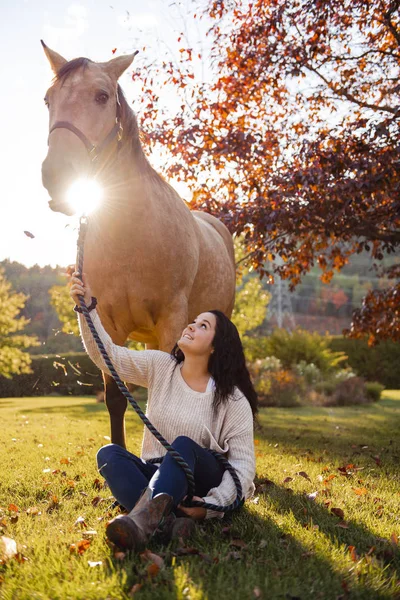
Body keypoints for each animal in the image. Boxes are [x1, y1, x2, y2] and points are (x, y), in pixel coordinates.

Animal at [40, 42, 236, 448]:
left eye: (101, 96)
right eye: (48, 99)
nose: (57, 176)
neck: (131, 235)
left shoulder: (173, 320)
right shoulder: (108, 326)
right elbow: (118, 397)